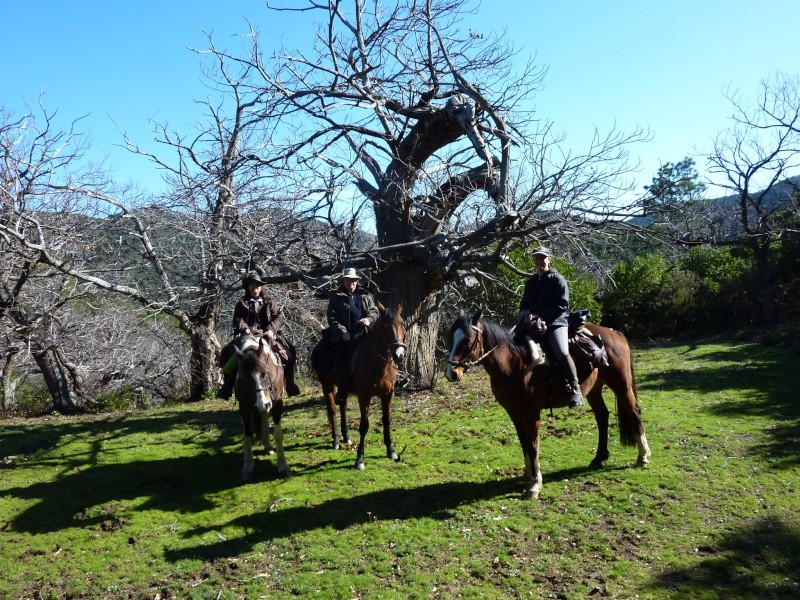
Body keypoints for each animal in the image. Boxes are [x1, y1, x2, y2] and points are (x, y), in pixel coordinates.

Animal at [234, 332, 290, 478]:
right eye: (246, 378)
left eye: (265, 373)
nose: (262, 403)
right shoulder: (244, 407)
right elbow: (247, 436)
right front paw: (248, 466)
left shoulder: (277, 404)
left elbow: (278, 434)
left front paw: (283, 465)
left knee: (264, 417)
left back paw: (268, 446)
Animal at [312, 304, 406, 468]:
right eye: (385, 327)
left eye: (402, 324)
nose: (399, 355)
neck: (378, 364)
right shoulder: (364, 396)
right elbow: (364, 426)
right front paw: (360, 459)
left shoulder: (388, 395)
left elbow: (387, 421)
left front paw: (391, 451)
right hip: (326, 384)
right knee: (332, 409)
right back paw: (336, 440)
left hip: (343, 388)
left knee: (342, 406)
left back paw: (346, 436)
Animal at [444, 312, 648, 500]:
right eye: (450, 337)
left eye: (468, 339)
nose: (450, 373)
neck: (514, 361)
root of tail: (613, 333)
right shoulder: (514, 413)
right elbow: (524, 442)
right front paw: (529, 473)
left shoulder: (531, 413)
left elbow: (533, 445)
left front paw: (535, 484)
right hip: (594, 389)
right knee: (602, 416)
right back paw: (599, 457)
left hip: (621, 385)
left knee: (634, 412)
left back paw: (643, 457)